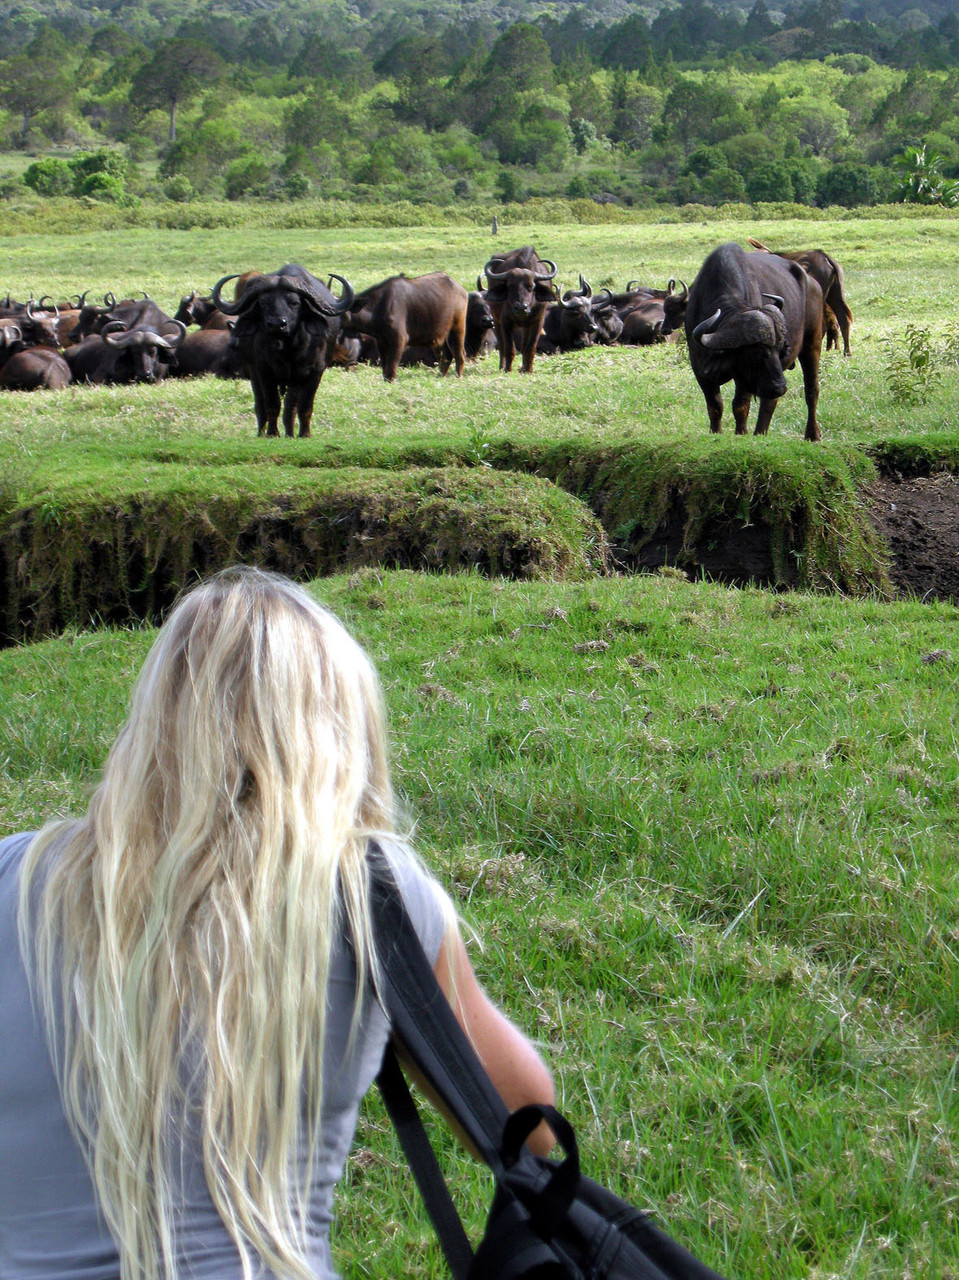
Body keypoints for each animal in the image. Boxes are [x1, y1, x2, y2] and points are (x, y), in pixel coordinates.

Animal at [211, 262, 353, 437]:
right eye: (264, 303)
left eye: (294, 302)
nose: (277, 324)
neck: (287, 349)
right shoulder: (263, 371)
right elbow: (272, 405)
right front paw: (272, 433)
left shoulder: (314, 372)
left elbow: (303, 406)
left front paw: (304, 434)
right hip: (254, 373)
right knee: (260, 404)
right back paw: (262, 433)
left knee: (290, 406)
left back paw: (290, 434)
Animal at [481, 244, 558, 373]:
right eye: (511, 286)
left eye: (531, 287)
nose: (521, 307)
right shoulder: (505, 322)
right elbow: (509, 348)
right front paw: (508, 369)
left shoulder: (537, 322)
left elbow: (529, 347)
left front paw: (528, 370)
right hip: (496, 321)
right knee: (502, 345)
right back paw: (502, 366)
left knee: (523, 346)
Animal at [681, 244, 824, 445]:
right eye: (755, 353)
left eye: (781, 350)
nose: (780, 387)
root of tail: (812, 283)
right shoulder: (700, 369)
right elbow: (714, 406)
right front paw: (715, 432)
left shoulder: (744, 377)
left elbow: (740, 405)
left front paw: (741, 433)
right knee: (769, 401)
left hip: (812, 344)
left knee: (810, 390)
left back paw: (811, 433)